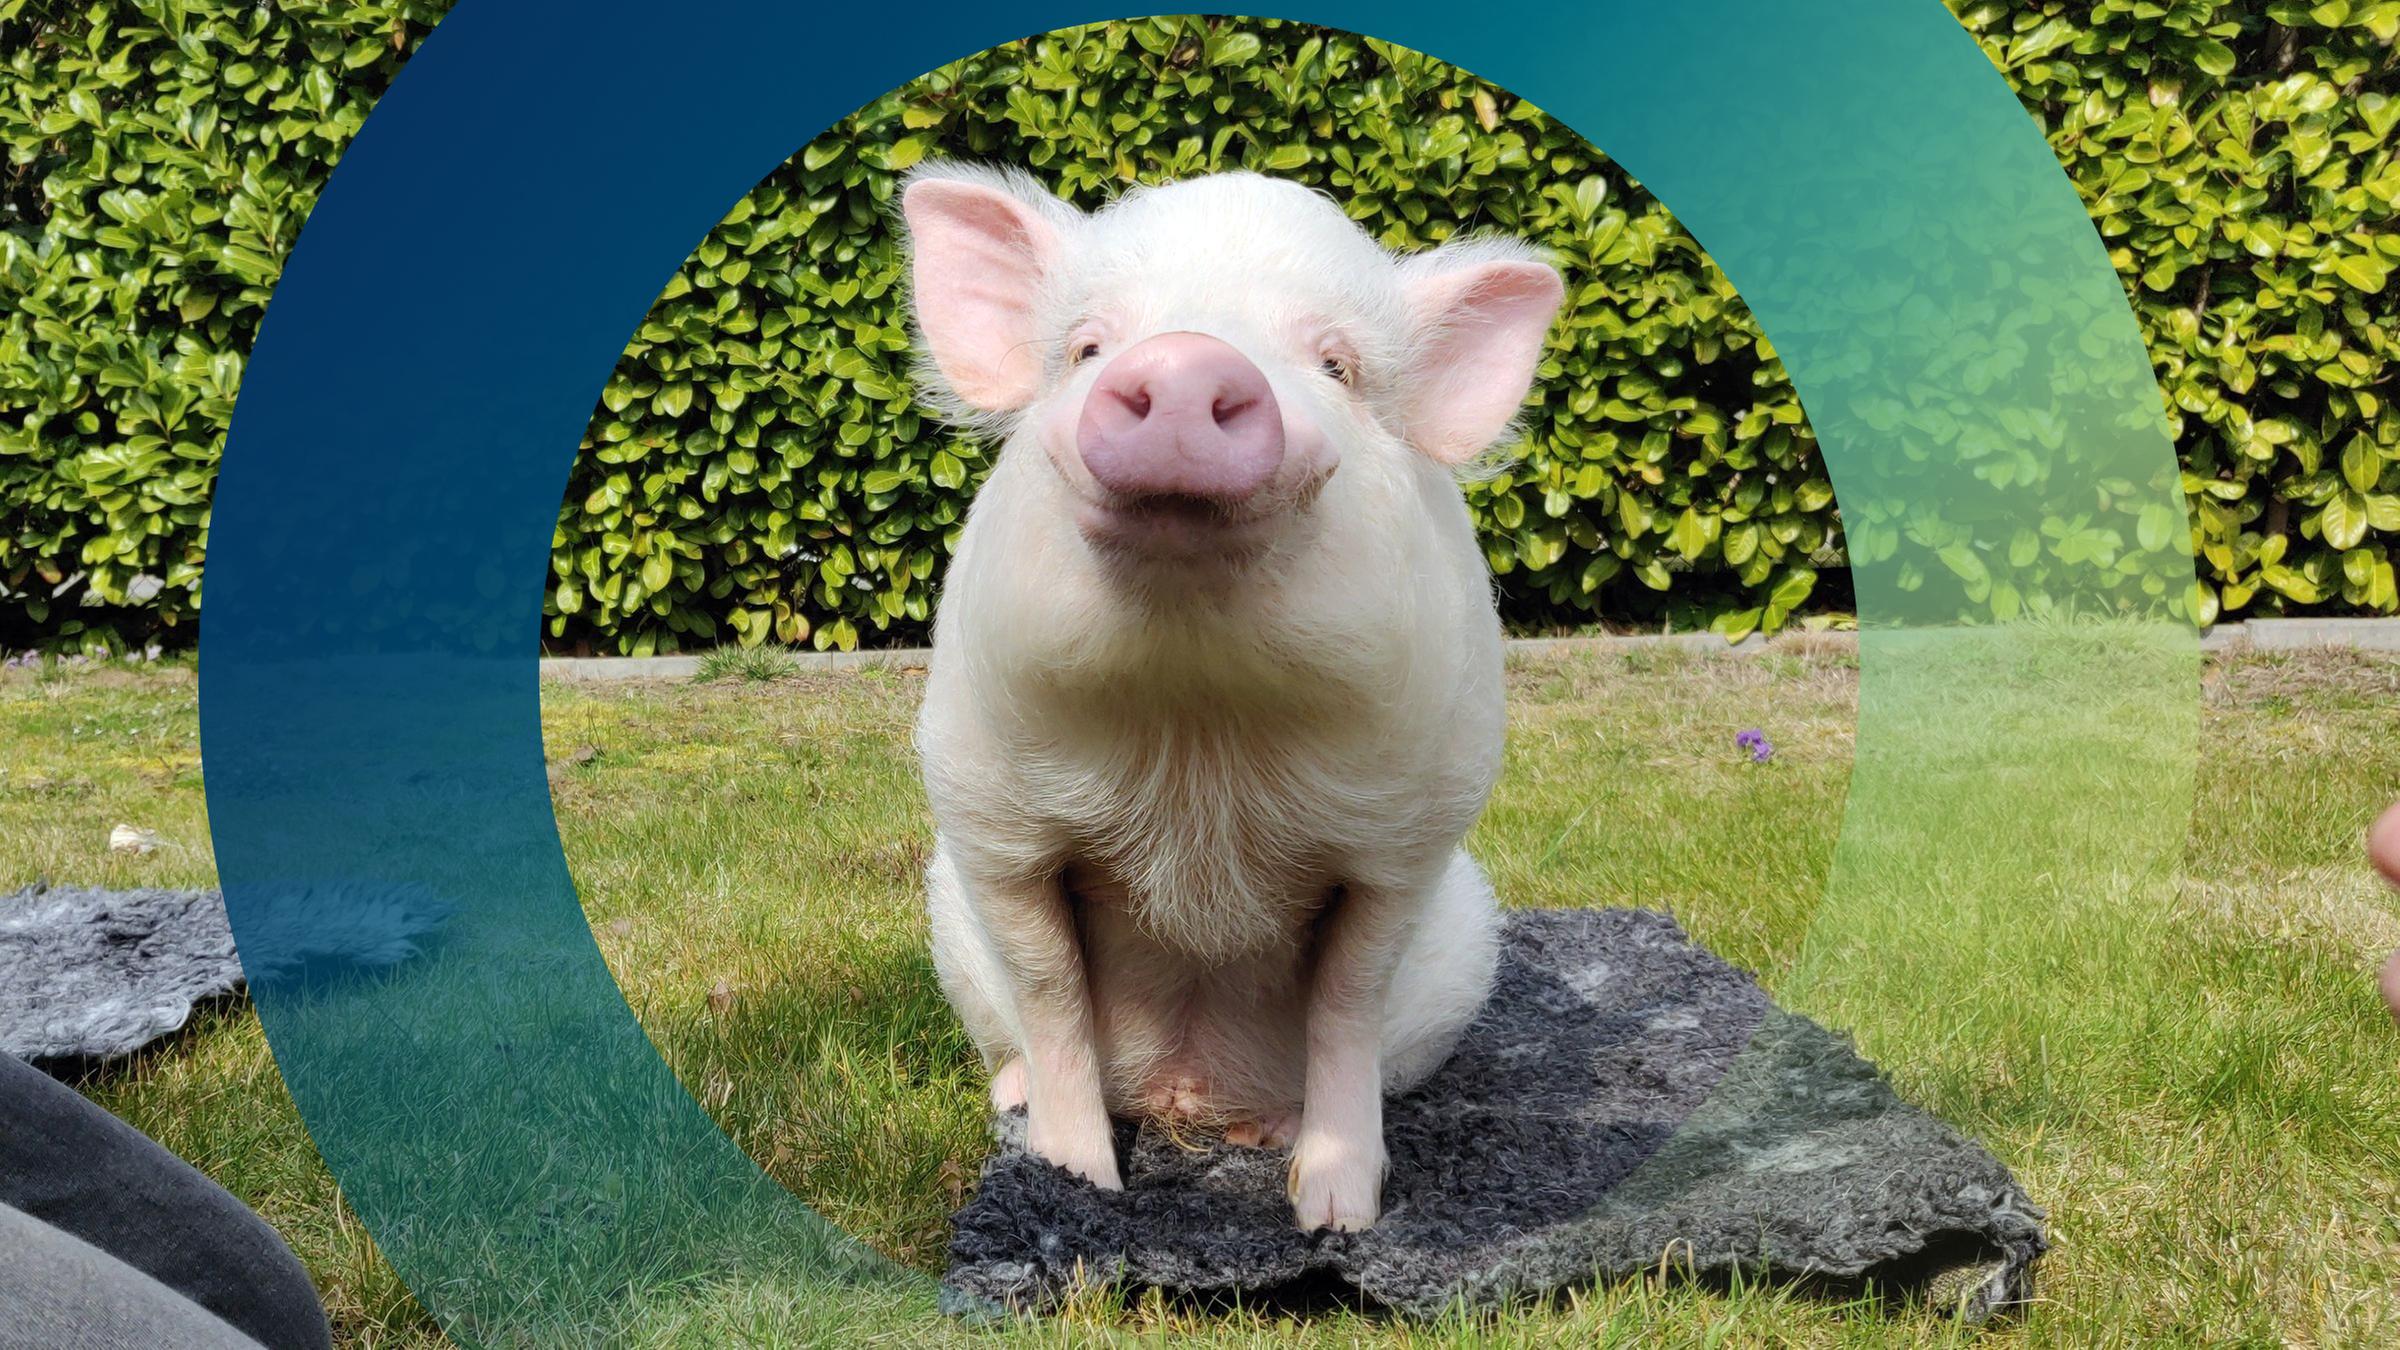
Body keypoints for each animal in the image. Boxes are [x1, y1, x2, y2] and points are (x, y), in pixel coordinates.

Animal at [900, 162, 1564, 1231]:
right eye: (1087, 346)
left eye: (1337, 365)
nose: (1184, 360)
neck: (1198, 721)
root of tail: (1185, 1096)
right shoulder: (988, 815)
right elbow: (1050, 987)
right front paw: (1077, 1184)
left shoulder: (1410, 839)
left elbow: (1348, 999)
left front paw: (1336, 1216)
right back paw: (1013, 1095)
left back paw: (1268, 1137)